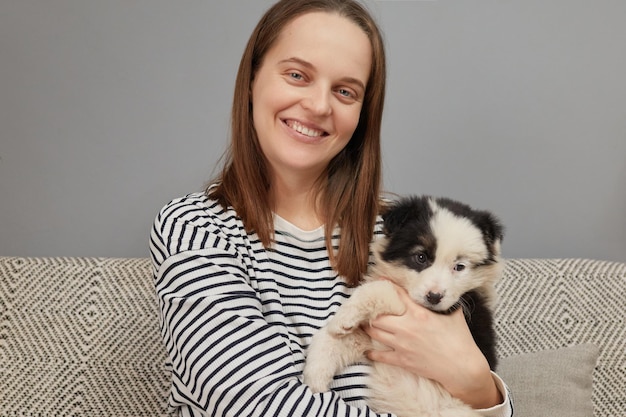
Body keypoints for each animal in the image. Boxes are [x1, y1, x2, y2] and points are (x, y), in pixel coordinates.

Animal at [302, 195, 502, 416]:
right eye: (421, 257)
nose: (434, 297)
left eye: (459, 267)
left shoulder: (456, 307)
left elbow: (383, 288)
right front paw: (314, 378)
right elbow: (331, 340)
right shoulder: (372, 338)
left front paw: (344, 316)